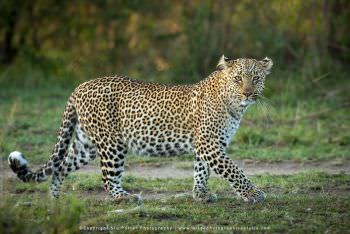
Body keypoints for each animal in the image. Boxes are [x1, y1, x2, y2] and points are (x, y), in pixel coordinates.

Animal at [6, 54, 272, 203]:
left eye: (256, 79)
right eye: (238, 78)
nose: (248, 93)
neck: (234, 105)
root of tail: (80, 86)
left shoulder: (207, 144)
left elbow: (201, 170)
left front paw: (201, 194)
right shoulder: (209, 143)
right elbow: (234, 170)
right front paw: (253, 194)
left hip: (86, 144)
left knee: (60, 166)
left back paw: (55, 200)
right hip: (112, 143)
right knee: (107, 178)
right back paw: (124, 198)